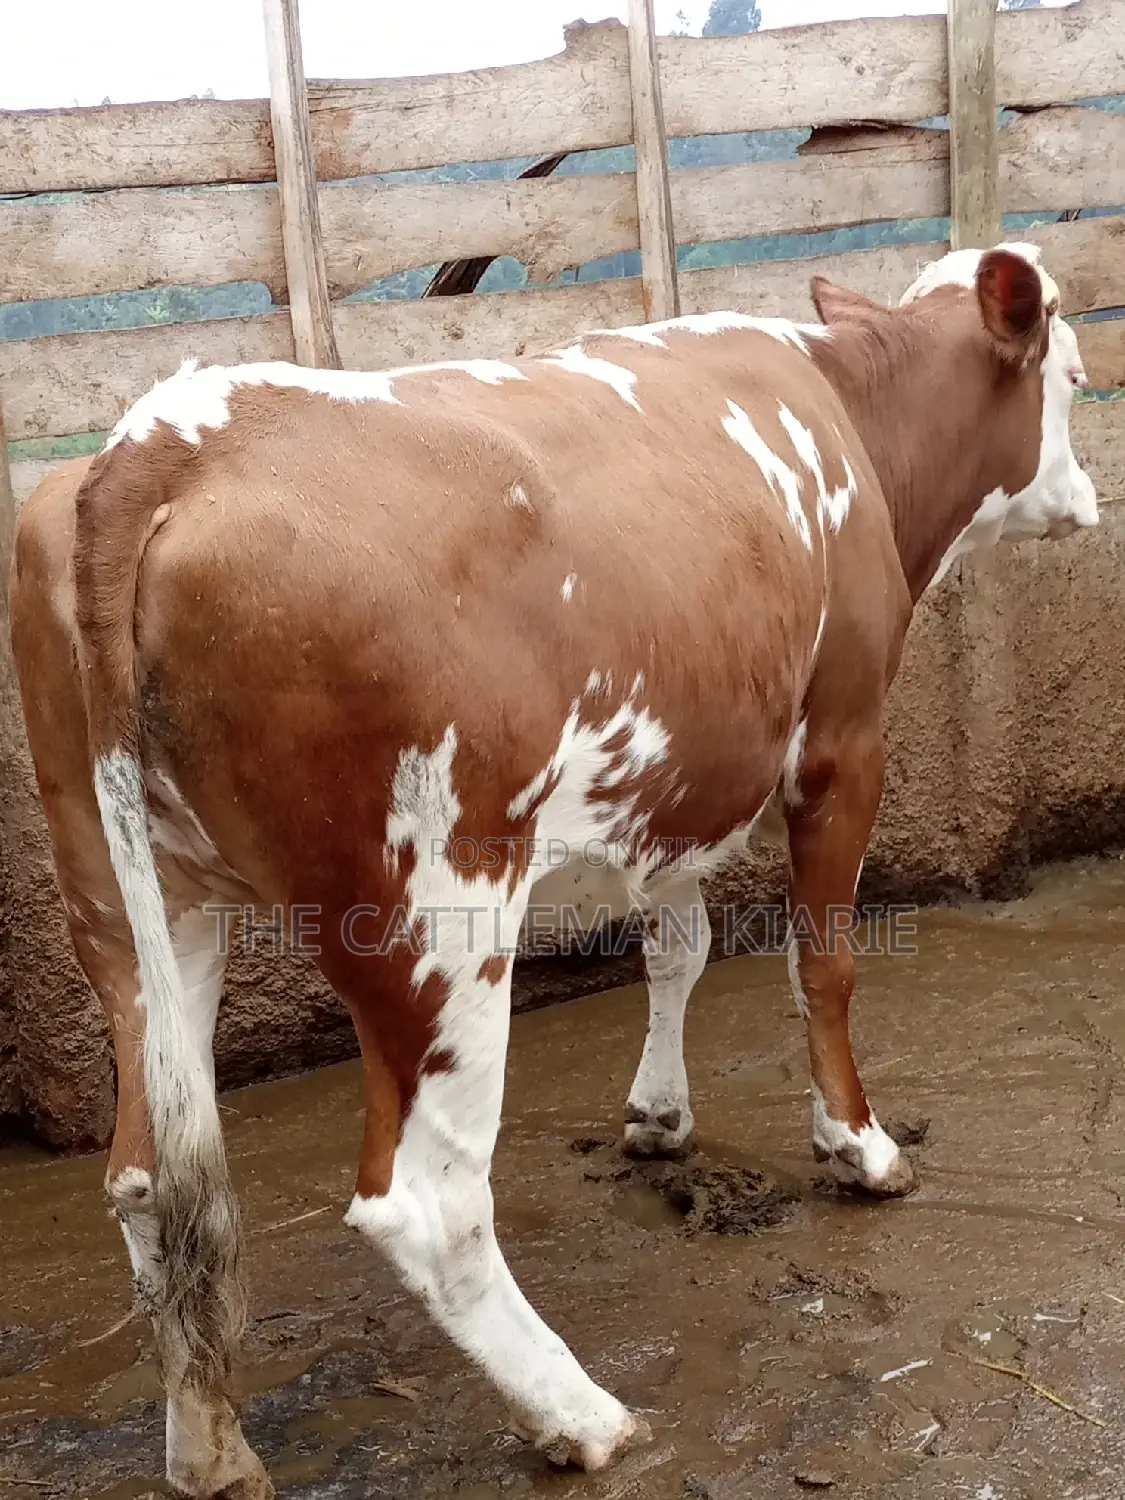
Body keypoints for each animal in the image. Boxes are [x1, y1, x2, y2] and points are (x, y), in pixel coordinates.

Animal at [10, 241, 1096, 1498]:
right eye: (1073, 375)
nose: (1088, 498)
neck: (848, 416)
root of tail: (164, 440)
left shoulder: (680, 774)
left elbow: (680, 945)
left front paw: (660, 1117)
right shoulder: (842, 740)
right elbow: (821, 964)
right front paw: (858, 1147)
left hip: (131, 913)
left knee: (150, 1180)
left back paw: (208, 1446)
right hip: (438, 917)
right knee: (422, 1201)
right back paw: (580, 1414)